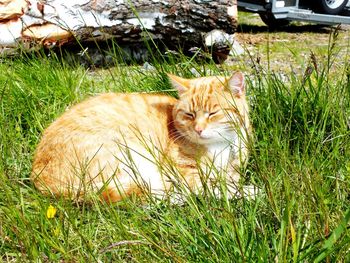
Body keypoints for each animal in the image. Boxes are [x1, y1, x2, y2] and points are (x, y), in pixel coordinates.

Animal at [31, 72, 253, 204]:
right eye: (189, 115)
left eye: (213, 113)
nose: (198, 130)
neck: (221, 146)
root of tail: (40, 177)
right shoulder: (188, 175)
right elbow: (217, 187)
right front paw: (251, 192)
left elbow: (229, 180)